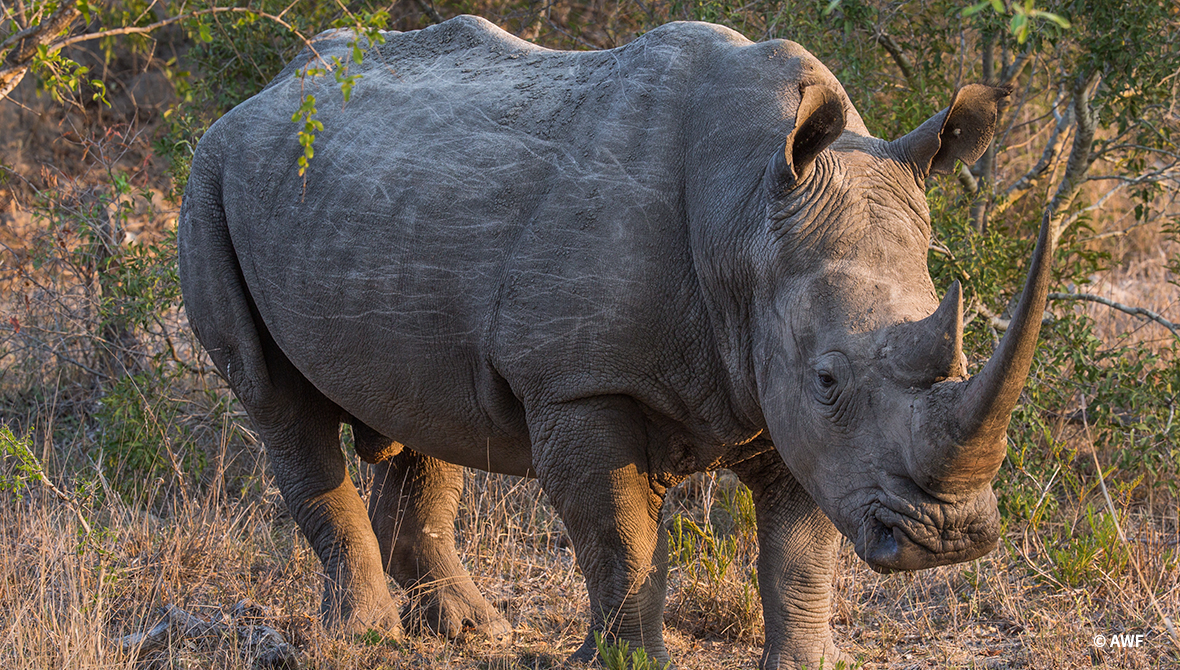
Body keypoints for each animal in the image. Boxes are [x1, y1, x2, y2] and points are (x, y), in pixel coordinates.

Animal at [178, 15, 1054, 668]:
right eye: (831, 377)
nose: (948, 539)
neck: (746, 217)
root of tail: (266, 89)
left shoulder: (783, 394)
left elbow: (800, 553)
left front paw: (804, 663)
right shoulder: (581, 382)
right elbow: (621, 540)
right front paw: (624, 662)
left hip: (370, 205)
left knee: (421, 408)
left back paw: (473, 630)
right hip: (210, 175)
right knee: (275, 400)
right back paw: (368, 638)